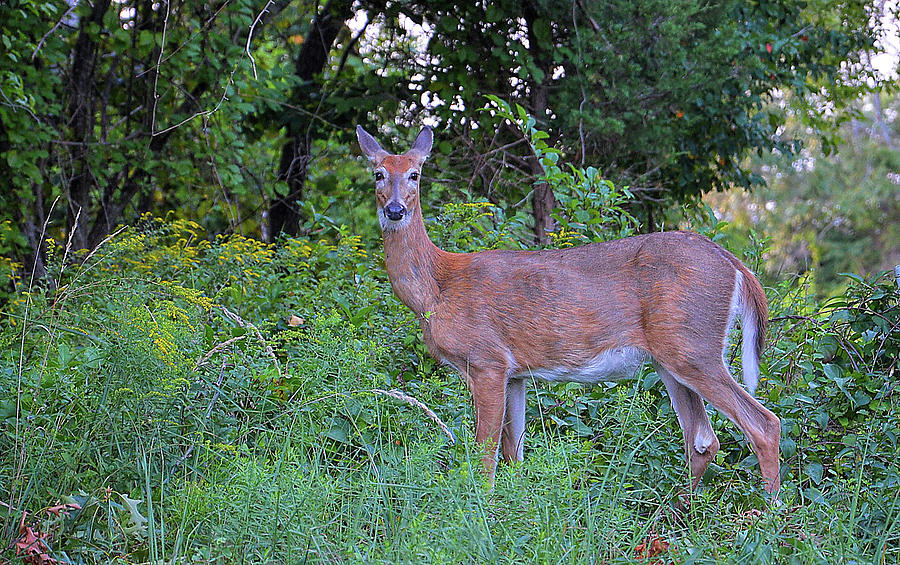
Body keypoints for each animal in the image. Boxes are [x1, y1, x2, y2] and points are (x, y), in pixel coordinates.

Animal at [354, 122, 780, 490]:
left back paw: (770, 514)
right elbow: (515, 452)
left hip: (693, 344)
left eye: (414, 174)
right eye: (378, 174)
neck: (437, 288)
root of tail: (736, 264)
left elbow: (486, 454)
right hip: (671, 356)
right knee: (703, 439)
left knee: (763, 424)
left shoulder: (487, 360)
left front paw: (484, 506)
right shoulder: (516, 373)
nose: (395, 210)